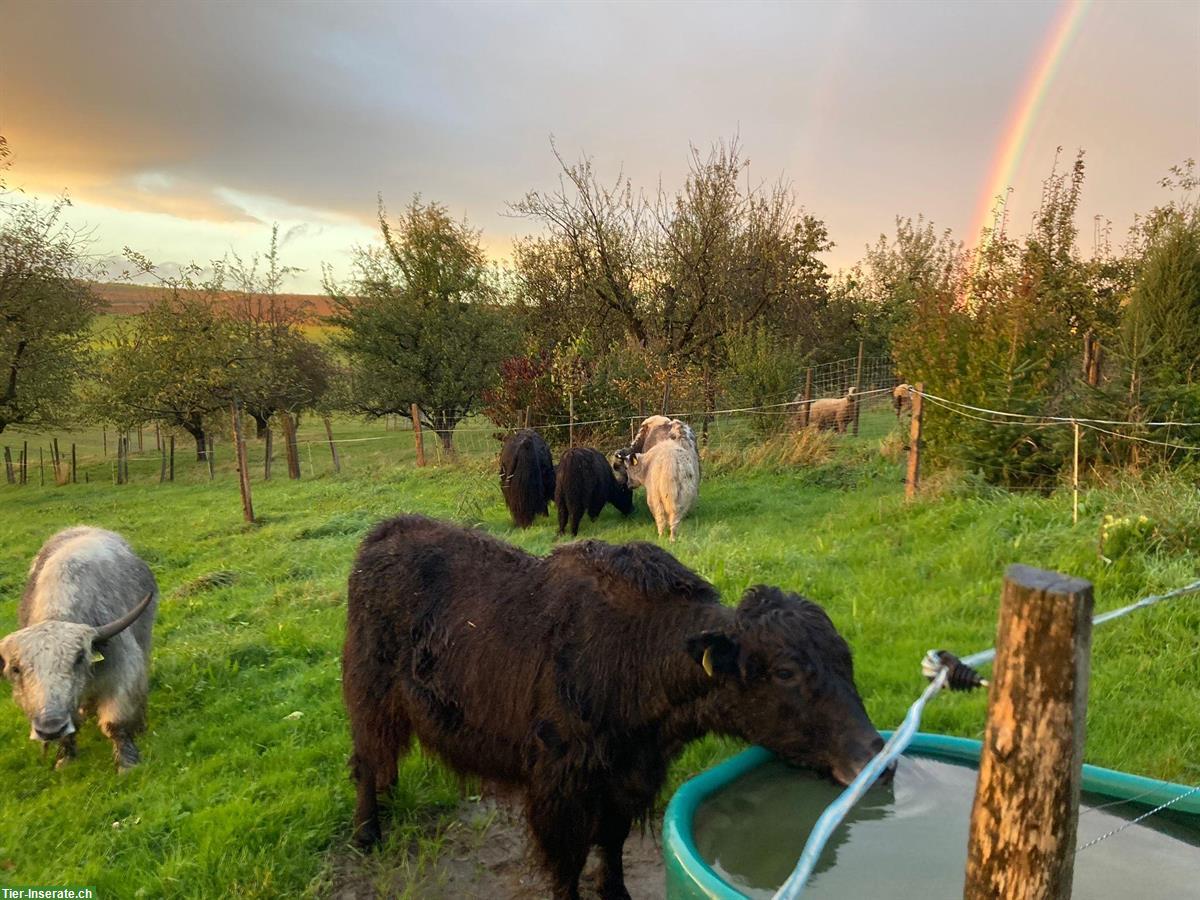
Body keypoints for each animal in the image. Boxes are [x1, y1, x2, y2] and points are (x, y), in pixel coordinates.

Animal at [0, 527, 158, 772]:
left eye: (78, 658)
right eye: (16, 669)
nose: (51, 728)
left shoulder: (122, 671)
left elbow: (115, 721)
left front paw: (127, 762)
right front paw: (64, 759)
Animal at [342, 516, 885, 900]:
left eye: (845, 658)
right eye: (786, 672)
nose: (873, 755)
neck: (639, 656)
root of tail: (385, 531)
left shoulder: (628, 778)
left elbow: (612, 841)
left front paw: (617, 892)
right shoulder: (560, 788)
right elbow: (567, 862)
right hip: (369, 694)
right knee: (366, 761)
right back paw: (368, 833)